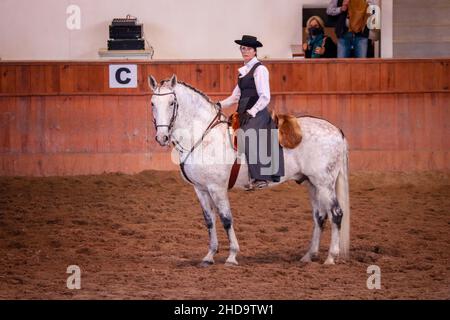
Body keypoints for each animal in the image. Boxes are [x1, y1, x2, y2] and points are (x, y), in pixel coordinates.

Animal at [149, 74, 350, 264]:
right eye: (152, 103)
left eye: (172, 102)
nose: (162, 137)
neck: (205, 137)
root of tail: (336, 130)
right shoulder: (201, 189)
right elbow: (209, 221)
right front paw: (209, 255)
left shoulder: (217, 188)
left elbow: (226, 219)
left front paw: (232, 256)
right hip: (311, 184)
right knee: (319, 216)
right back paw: (309, 255)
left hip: (324, 183)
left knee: (336, 214)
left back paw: (331, 257)